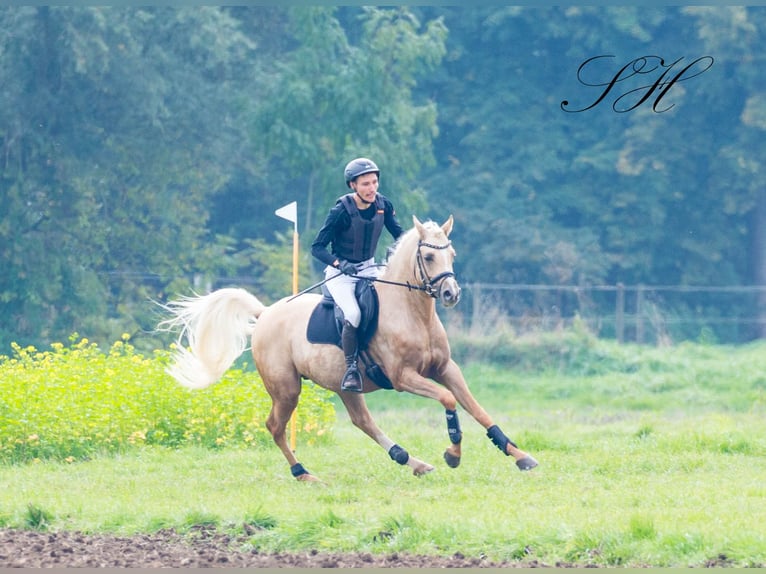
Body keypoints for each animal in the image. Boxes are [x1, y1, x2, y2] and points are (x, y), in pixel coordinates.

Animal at [158, 215, 536, 482]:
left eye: (452, 254)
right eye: (428, 256)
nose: (450, 294)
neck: (412, 312)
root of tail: (265, 314)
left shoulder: (445, 369)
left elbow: (476, 408)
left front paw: (519, 455)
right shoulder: (403, 378)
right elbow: (449, 400)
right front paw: (453, 454)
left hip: (343, 385)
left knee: (361, 421)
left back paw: (411, 461)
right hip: (286, 389)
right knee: (275, 427)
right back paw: (304, 474)